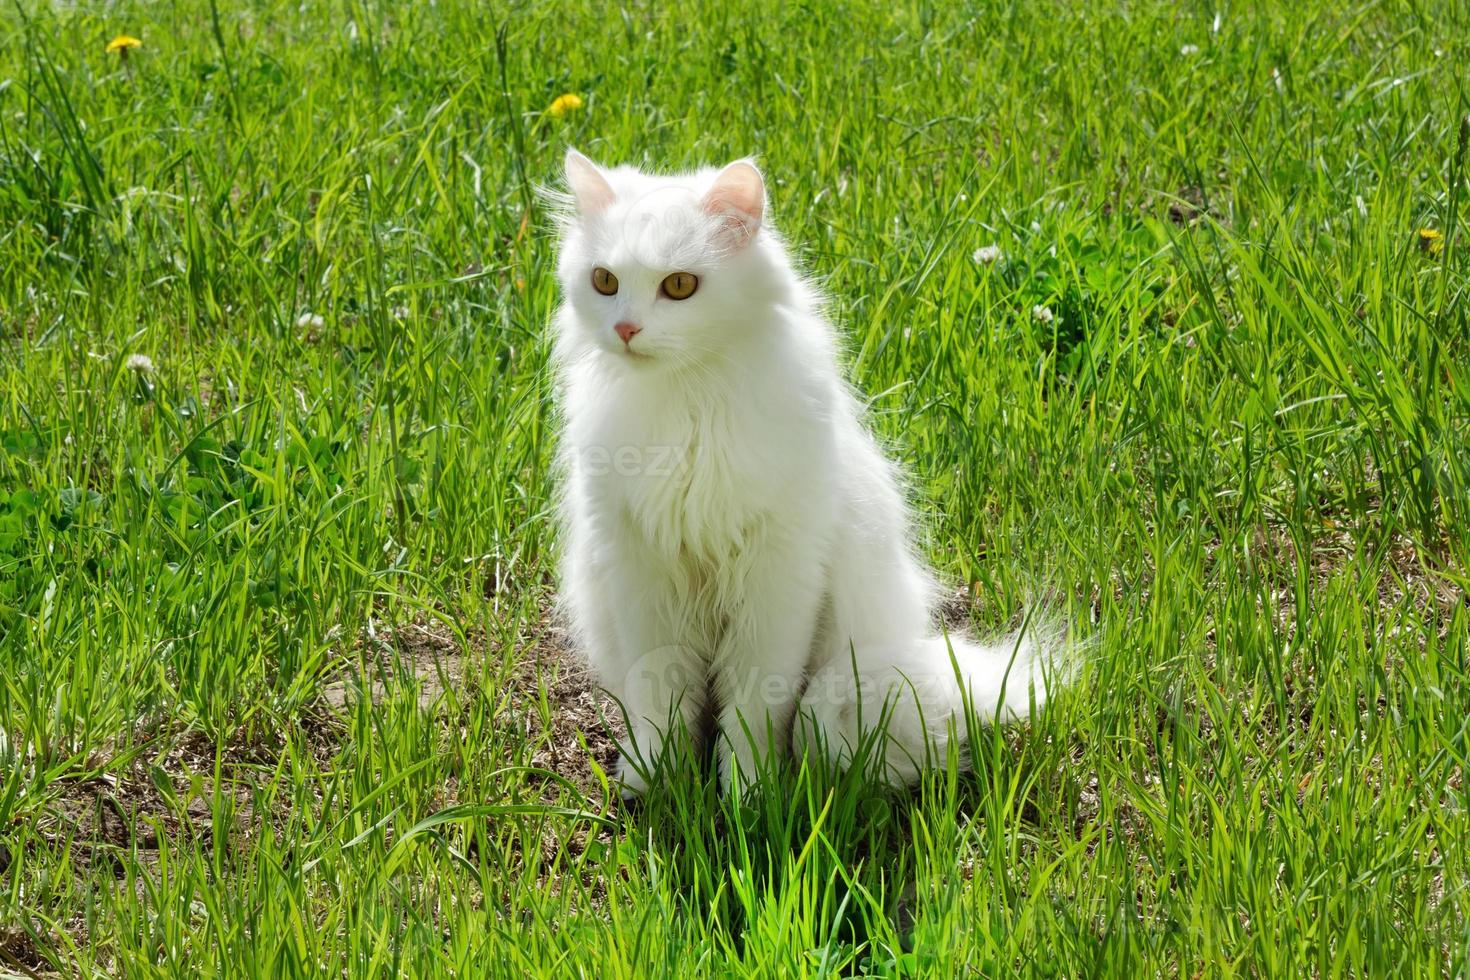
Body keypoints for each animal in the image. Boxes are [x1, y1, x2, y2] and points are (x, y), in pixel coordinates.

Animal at [552, 151, 1058, 799]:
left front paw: (748, 792)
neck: (690, 400)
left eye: (680, 286)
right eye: (605, 281)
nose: (625, 330)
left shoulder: (777, 576)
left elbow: (754, 704)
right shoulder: (642, 574)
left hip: (844, 684)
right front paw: (656, 776)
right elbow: (659, 693)